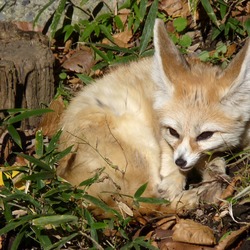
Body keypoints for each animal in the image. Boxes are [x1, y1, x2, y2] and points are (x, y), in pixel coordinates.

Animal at [57, 19, 250, 213]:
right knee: (142, 202)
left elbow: (212, 160)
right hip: (143, 147)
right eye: (173, 132)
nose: (180, 161)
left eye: (205, 135)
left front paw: (214, 176)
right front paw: (176, 183)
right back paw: (186, 199)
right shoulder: (162, 137)